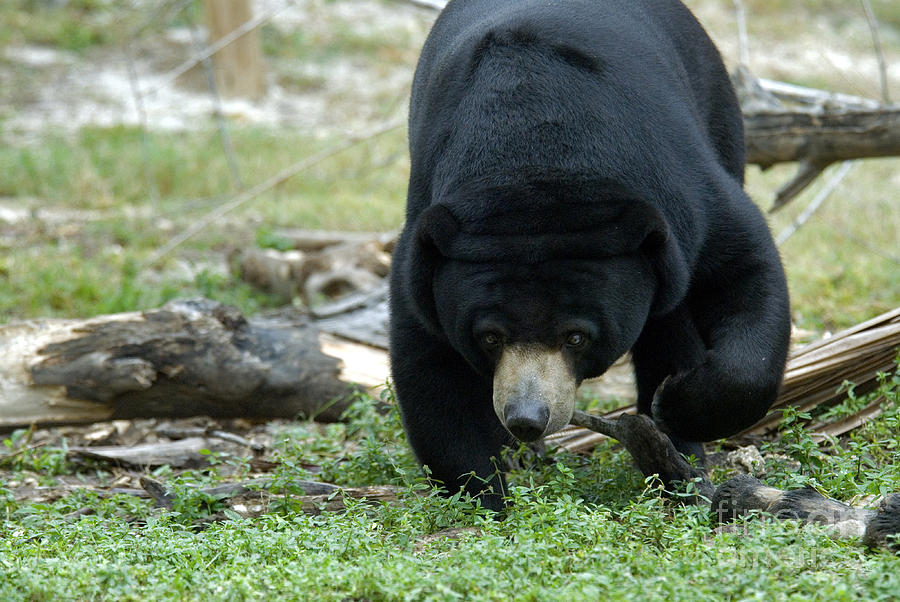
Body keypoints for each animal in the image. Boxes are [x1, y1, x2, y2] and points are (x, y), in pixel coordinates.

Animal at [390, 0, 792, 510]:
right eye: (489, 337)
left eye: (576, 336)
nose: (527, 419)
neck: (532, 160)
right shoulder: (430, 247)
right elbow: (430, 359)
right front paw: (484, 493)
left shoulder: (685, 194)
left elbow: (743, 269)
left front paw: (675, 403)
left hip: (718, 111)